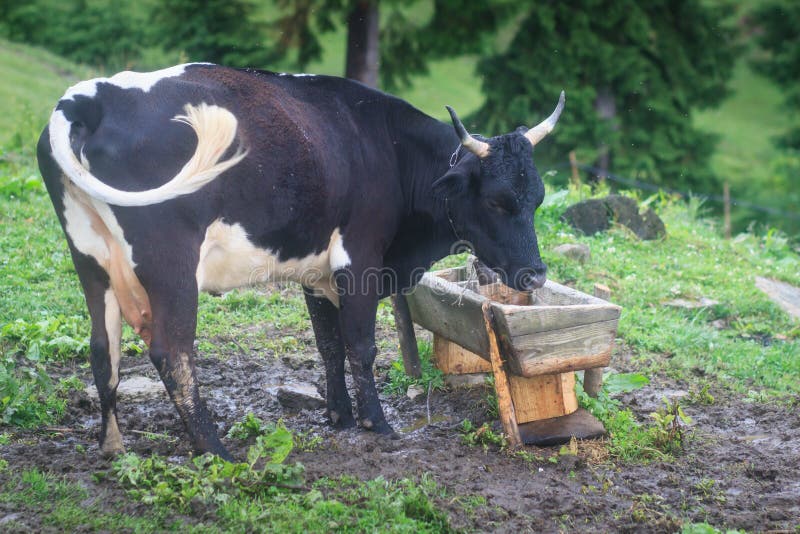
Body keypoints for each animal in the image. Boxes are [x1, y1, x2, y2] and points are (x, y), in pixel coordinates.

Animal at [36, 63, 564, 460]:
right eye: (497, 201)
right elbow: (360, 346)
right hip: (171, 266)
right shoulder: (359, 259)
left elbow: (328, 345)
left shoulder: (316, 270)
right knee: (172, 350)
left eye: (537, 198)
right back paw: (215, 449)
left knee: (102, 349)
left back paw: (112, 446)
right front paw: (376, 423)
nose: (534, 273)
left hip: (92, 262)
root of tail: (88, 97)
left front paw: (340, 415)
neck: (385, 148)